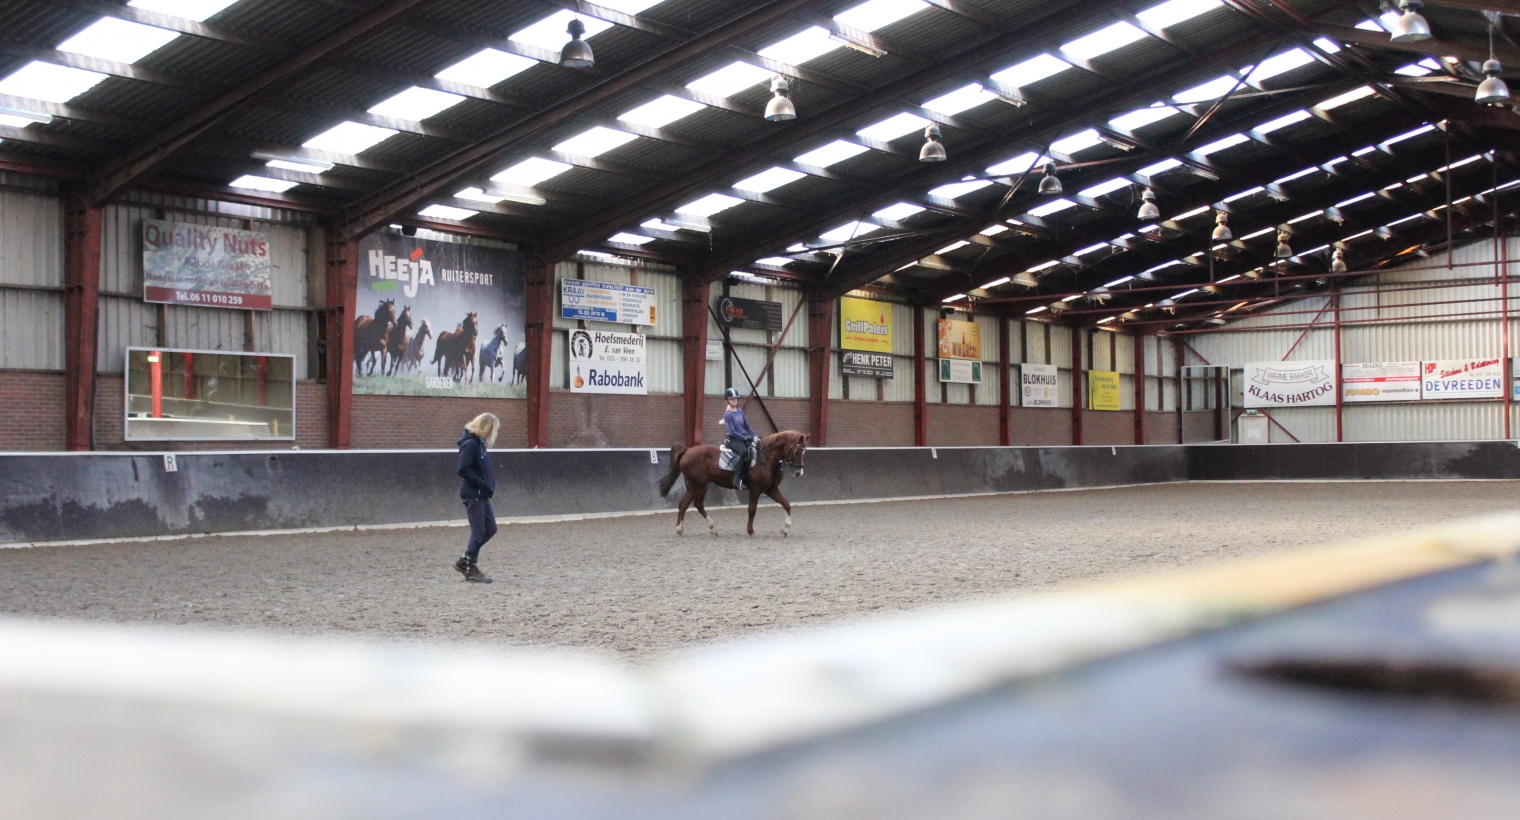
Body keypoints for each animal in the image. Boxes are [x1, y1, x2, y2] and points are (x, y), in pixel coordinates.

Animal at [662, 429, 814, 538]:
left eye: (804, 451)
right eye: (798, 451)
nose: (799, 473)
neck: (767, 459)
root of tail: (688, 450)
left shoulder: (771, 489)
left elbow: (786, 504)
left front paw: (785, 529)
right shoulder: (755, 490)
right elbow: (752, 510)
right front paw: (751, 531)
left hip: (693, 486)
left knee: (685, 504)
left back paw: (684, 530)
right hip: (699, 485)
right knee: (696, 504)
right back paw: (709, 528)